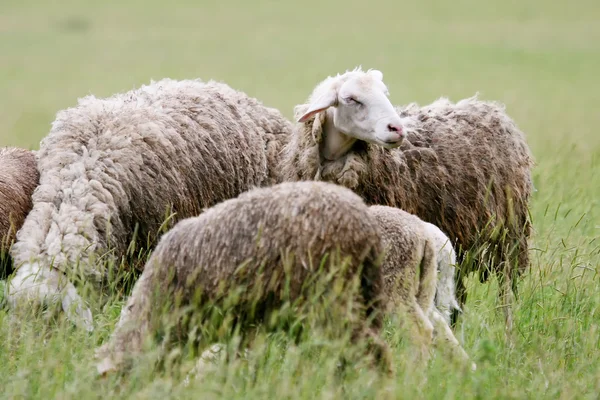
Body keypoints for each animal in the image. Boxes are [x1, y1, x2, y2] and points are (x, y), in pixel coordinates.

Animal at [280, 70, 536, 330]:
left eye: (385, 93)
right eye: (351, 99)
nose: (397, 128)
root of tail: (490, 108)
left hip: (508, 236)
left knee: (506, 291)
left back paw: (508, 331)